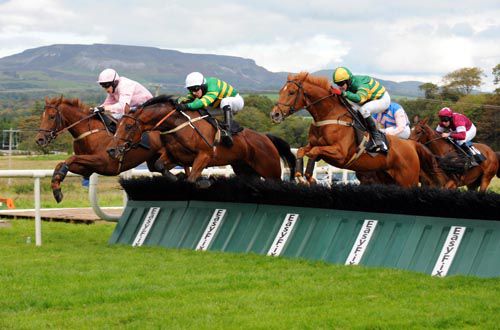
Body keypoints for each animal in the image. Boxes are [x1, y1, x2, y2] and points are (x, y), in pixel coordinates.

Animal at [36, 96, 168, 202]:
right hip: (153, 162)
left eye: (52, 116)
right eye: (42, 117)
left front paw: (59, 179)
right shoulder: (87, 169)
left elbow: (70, 158)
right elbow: (61, 163)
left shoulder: (104, 162)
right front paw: (56, 188)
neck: (89, 133)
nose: (39, 139)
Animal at [108, 94, 296, 186]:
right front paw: (176, 178)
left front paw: (204, 181)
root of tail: (266, 138)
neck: (178, 125)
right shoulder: (175, 156)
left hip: (270, 170)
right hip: (245, 170)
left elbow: (192, 179)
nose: (112, 150)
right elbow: (160, 165)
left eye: (129, 126)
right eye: (117, 125)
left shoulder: (204, 156)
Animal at [270, 73, 446, 187]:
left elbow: (314, 152)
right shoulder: (315, 146)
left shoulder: (339, 153)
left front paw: (310, 178)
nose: (275, 114)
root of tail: (411, 145)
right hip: (388, 179)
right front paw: (300, 176)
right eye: (280, 91)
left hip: (407, 180)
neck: (329, 115)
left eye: (291, 92)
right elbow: (302, 151)